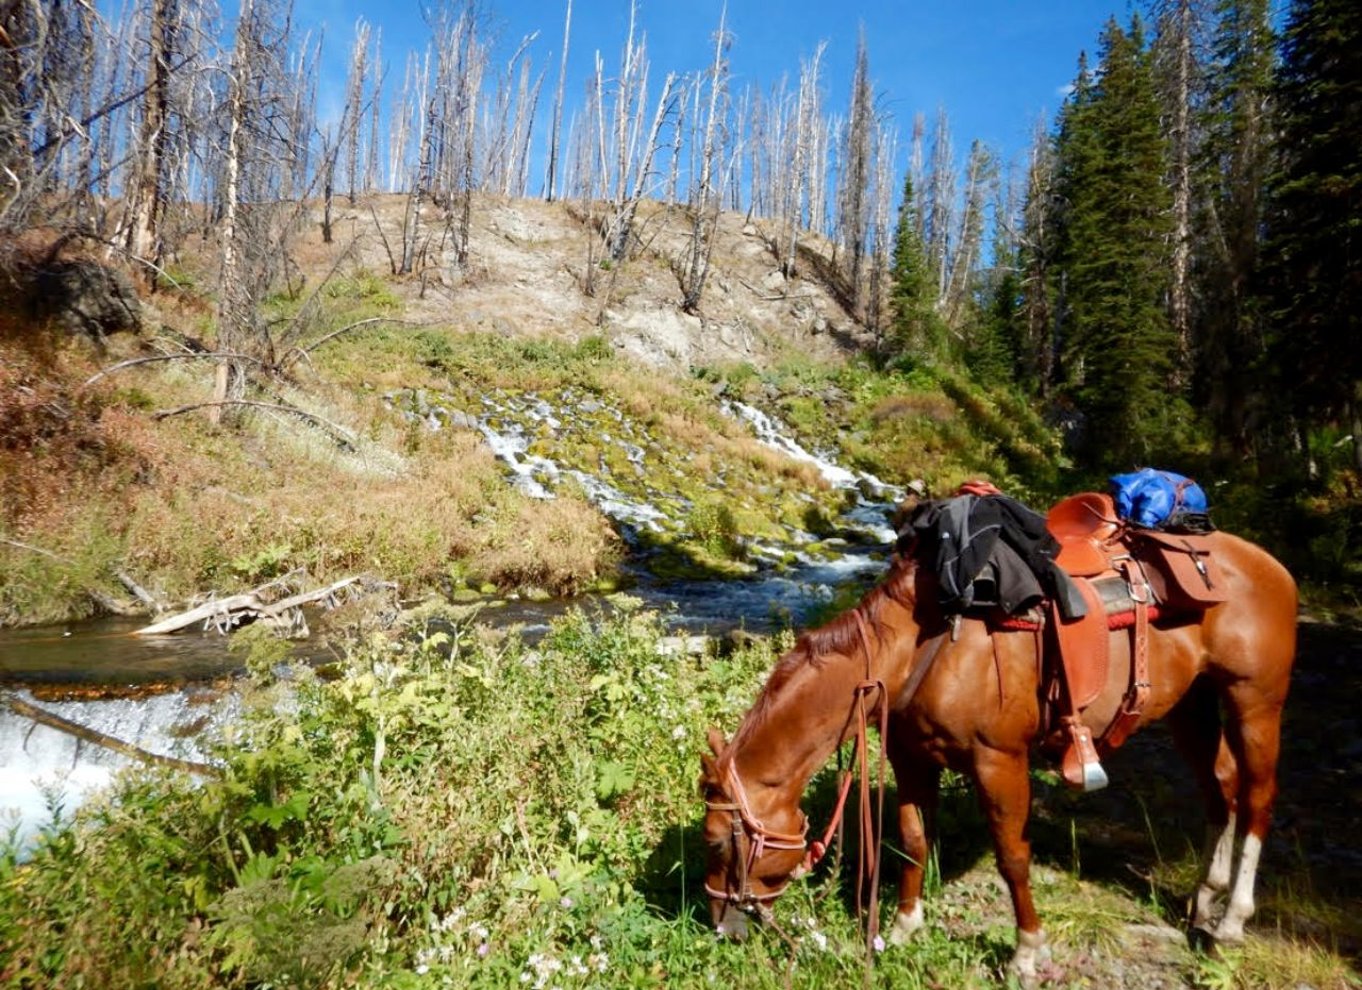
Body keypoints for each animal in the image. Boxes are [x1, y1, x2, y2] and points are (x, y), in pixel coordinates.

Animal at [702, 525, 1296, 985]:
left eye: (715, 841)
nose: (720, 927)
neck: (925, 644)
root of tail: (1268, 564)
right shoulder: (911, 757)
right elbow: (912, 840)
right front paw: (903, 928)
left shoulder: (999, 761)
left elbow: (1013, 858)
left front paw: (1026, 954)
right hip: (1190, 706)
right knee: (1220, 788)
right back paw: (1203, 902)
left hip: (1255, 701)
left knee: (1257, 797)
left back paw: (1231, 922)